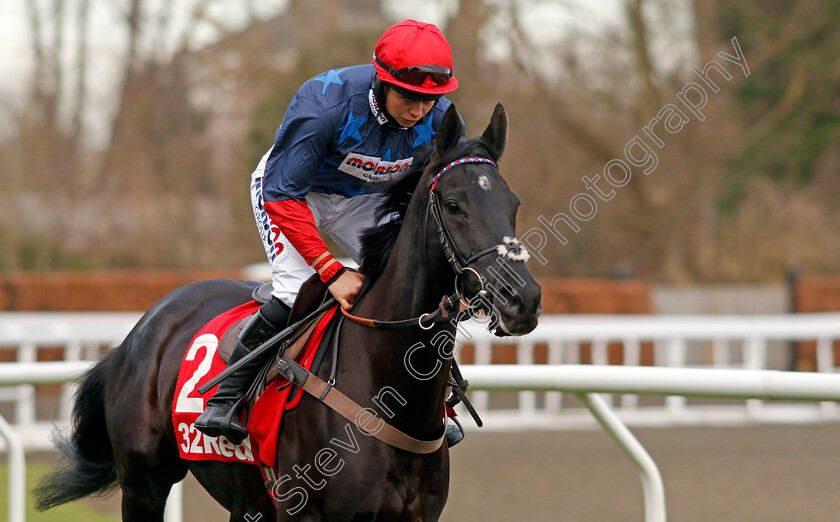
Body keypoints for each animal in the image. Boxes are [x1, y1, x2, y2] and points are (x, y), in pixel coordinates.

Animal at [32, 103, 540, 516]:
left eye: (513, 203)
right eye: (453, 205)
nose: (523, 299)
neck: (387, 394)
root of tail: (139, 332)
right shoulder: (305, 512)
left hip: (244, 498)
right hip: (144, 485)